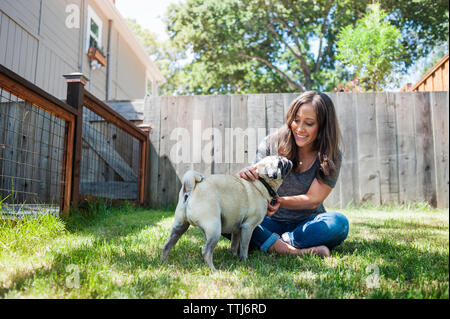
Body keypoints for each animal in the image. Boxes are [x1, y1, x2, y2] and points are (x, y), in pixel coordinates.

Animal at [162, 156, 292, 272]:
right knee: (206, 252)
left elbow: (234, 245)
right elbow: (244, 246)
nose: (288, 160)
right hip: (215, 229)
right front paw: (244, 261)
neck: (261, 182)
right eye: (280, 162)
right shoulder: (248, 227)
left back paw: (165, 264)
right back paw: (213, 270)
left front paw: (234, 257)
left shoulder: (237, 229)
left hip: (179, 226)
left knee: (167, 246)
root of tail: (192, 188)